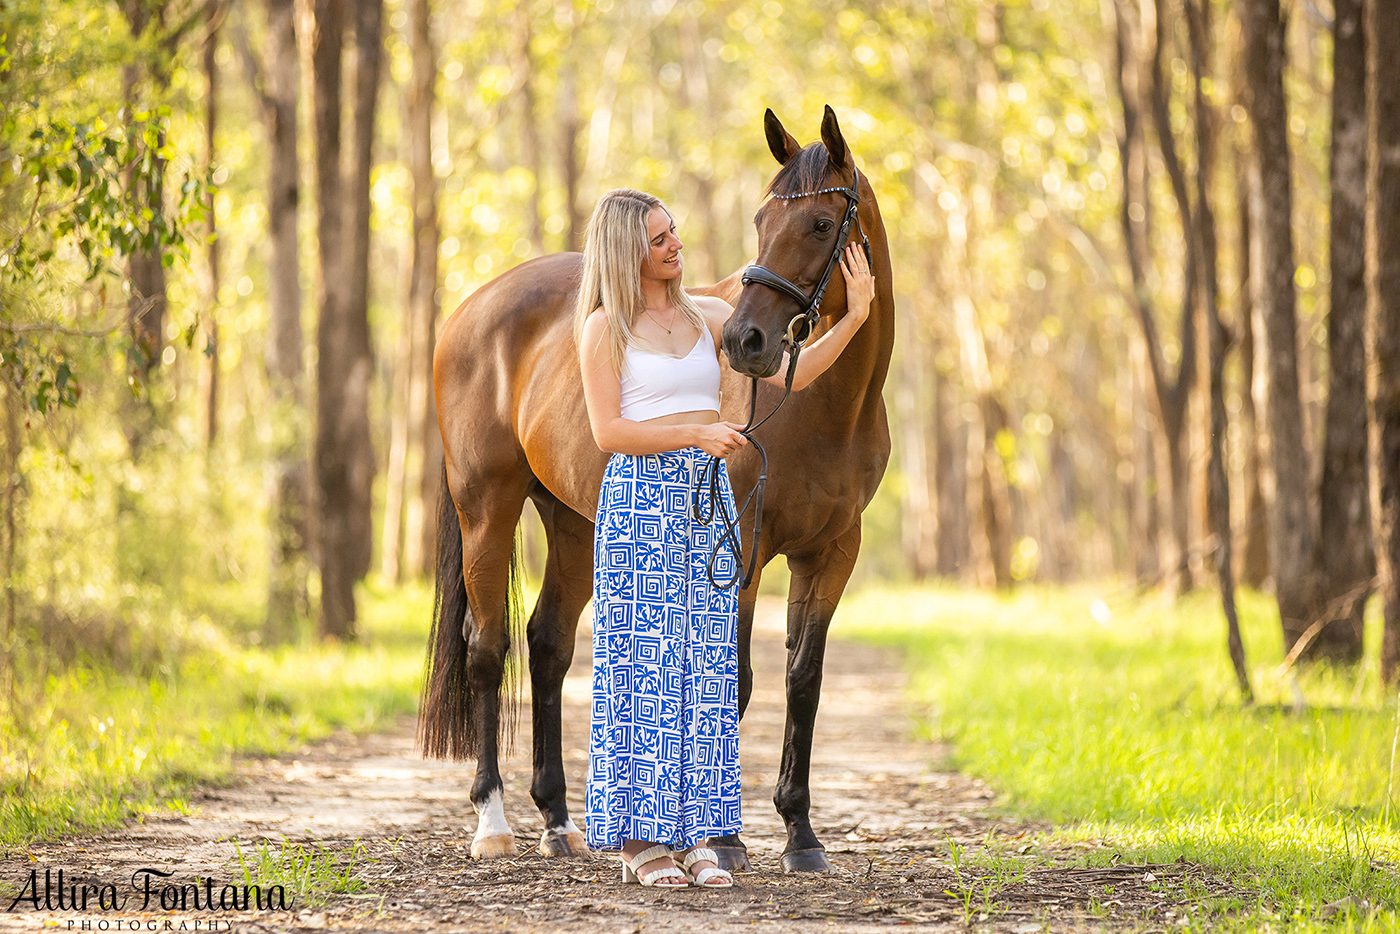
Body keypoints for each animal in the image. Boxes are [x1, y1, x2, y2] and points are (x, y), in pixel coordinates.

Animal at [420, 105, 890, 873]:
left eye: (822, 224)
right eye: (761, 219)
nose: (745, 341)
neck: (825, 406)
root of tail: (471, 308)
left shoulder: (832, 553)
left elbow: (804, 680)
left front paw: (800, 834)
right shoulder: (742, 549)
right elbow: (738, 680)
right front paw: (726, 840)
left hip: (573, 522)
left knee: (548, 643)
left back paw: (559, 819)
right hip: (485, 508)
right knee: (487, 648)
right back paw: (492, 821)